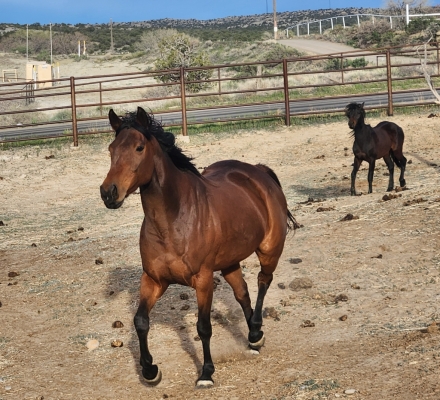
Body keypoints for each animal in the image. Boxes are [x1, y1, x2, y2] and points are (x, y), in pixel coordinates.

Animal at [100, 106, 300, 388]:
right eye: (111, 149)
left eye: (139, 147)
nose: (108, 193)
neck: (173, 221)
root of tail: (258, 171)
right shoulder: (153, 279)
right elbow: (140, 321)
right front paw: (150, 371)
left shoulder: (203, 280)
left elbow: (203, 327)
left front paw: (206, 373)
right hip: (229, 262)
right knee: (243, 293)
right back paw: (253, 334)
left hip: (269, 250)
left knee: (263, 281)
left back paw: (257, 330)